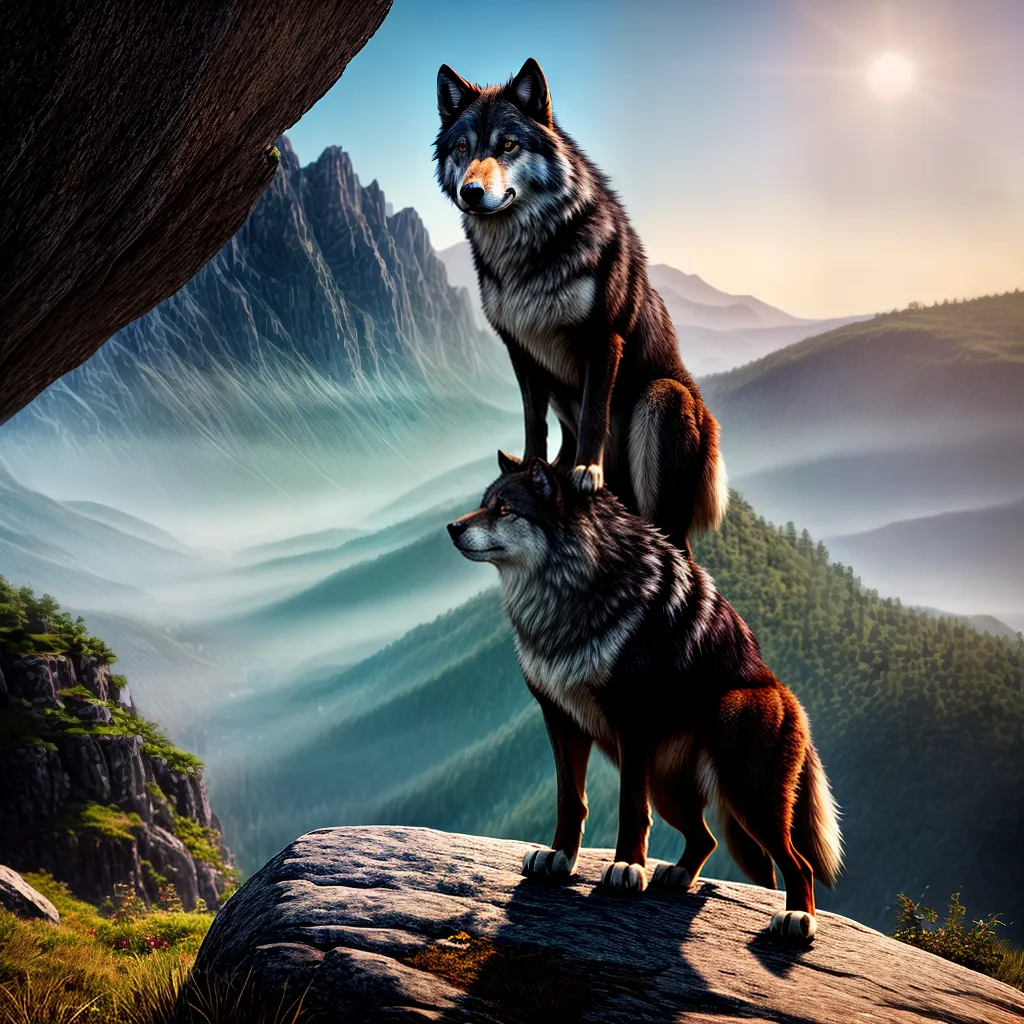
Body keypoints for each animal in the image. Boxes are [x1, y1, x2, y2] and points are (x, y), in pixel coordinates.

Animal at [435, 58, 727, 554]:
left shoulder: (603, 337)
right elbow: (533, 421)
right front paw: (528, 470)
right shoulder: (518, 348)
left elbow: (594, 412)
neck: (526, 254)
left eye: (508, 144)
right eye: (462, 147)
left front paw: (586, 472)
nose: (470, 192)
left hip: (662, 397)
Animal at [448, 456, 842, 941]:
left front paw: (625, 868)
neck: (563, 598)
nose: (451, 527)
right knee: (707, 837)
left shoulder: (630, 723)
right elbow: (570, 801)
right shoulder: (559, 718)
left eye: (504, 510)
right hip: (671, 790)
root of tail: (789, 698)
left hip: (746, 790)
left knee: (798, 863)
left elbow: (629, 809)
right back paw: (676, 875)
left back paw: (797, 920)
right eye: (484, 504)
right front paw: (559, 859)